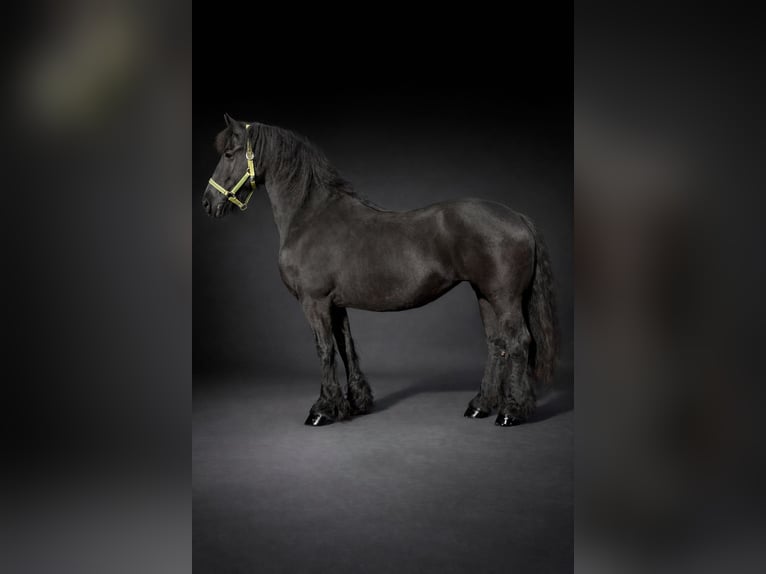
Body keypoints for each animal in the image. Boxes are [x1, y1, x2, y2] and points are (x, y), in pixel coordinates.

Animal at [201, 114, 558, 427]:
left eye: (230, 153)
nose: (207, 203)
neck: (311, 215)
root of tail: (517, 216)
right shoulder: (336, 304)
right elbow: (346, 347)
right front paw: (355, 403)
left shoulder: (315, 302)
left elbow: (324, 350)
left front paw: (322, 410)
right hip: (485, 295)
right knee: (497, 344)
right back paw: (480, 406)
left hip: (504, 298)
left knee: (518, 343)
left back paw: (510, 412)